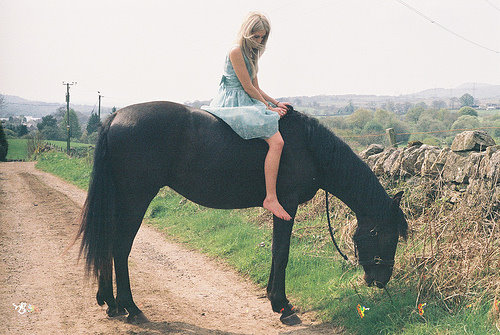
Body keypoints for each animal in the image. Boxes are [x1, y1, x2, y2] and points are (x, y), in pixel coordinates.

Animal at [77, 101, 406, 324]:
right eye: (387, 236)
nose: (380, 280)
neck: (309, 147)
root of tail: (115, 117)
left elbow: (275, 251)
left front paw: (273, 298)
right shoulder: (286, 205)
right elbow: (282, 252)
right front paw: (282, 306)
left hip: (120, 200)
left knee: (108, 243)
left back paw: (110, 303)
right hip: (135, 199)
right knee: (120, 248)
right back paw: (131, 308)